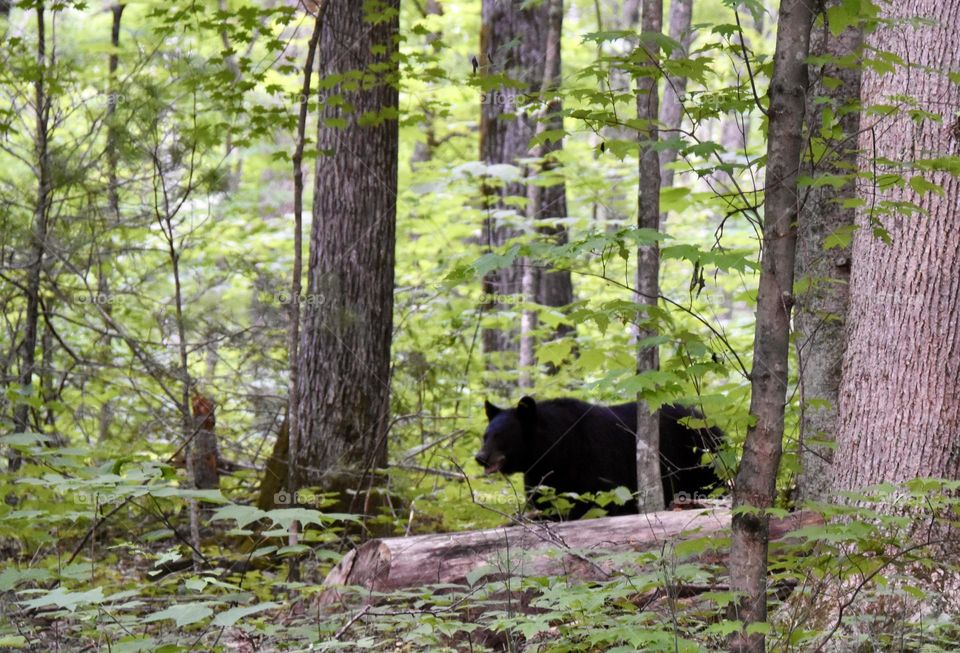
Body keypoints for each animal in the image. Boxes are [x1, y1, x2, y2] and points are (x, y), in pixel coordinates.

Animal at [476, 394, 724, 516]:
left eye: (501, 436)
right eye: (485, 435)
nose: (480, 457)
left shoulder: (595, 465)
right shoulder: (543, 477)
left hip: (701, 458)